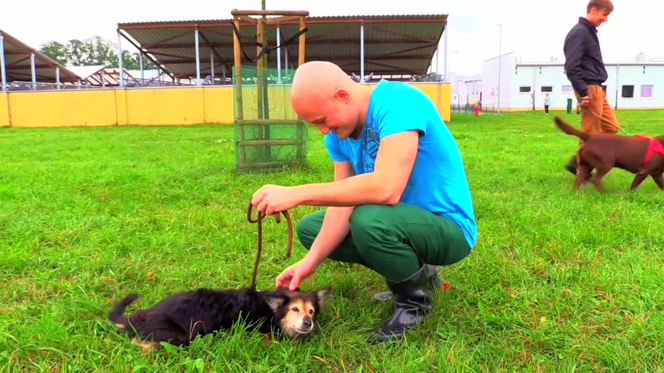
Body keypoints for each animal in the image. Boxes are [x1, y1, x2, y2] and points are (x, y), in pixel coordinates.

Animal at [107, 284, 332, 348]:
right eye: (294, 309)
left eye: (311, 311)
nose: (308, 323)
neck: (269, 310)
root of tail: (136, 318)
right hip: (176, 338)